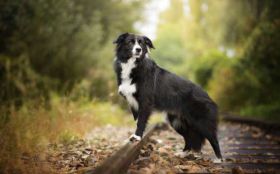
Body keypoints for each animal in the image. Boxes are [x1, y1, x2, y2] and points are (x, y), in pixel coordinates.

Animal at [112, 33, 222, 162]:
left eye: (141, 43)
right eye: (130, 42)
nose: (138, 50)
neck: (133, 64)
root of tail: (207, 96)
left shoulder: (145, 102)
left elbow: (141, 121)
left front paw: (137, 137)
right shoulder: (134, 103)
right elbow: (137, 120)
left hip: (201, 122)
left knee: (213, 138)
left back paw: (219, 159)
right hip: (177, 122)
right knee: (190, 137)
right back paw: (183, 153)